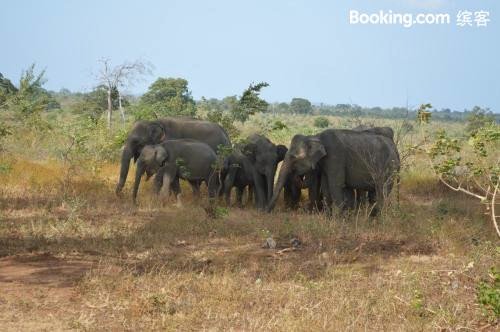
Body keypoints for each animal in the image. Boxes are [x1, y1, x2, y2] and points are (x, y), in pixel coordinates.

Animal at [268, 128, 400, 214]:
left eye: (294, 158)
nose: (266, 211)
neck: (316, 136)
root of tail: (394, 147)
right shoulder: (326, 163)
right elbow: (326, 186)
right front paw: (328, 218)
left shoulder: (336, 156)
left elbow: (335, 185)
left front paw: (338, 220)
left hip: (389, 166)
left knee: (382, 190)